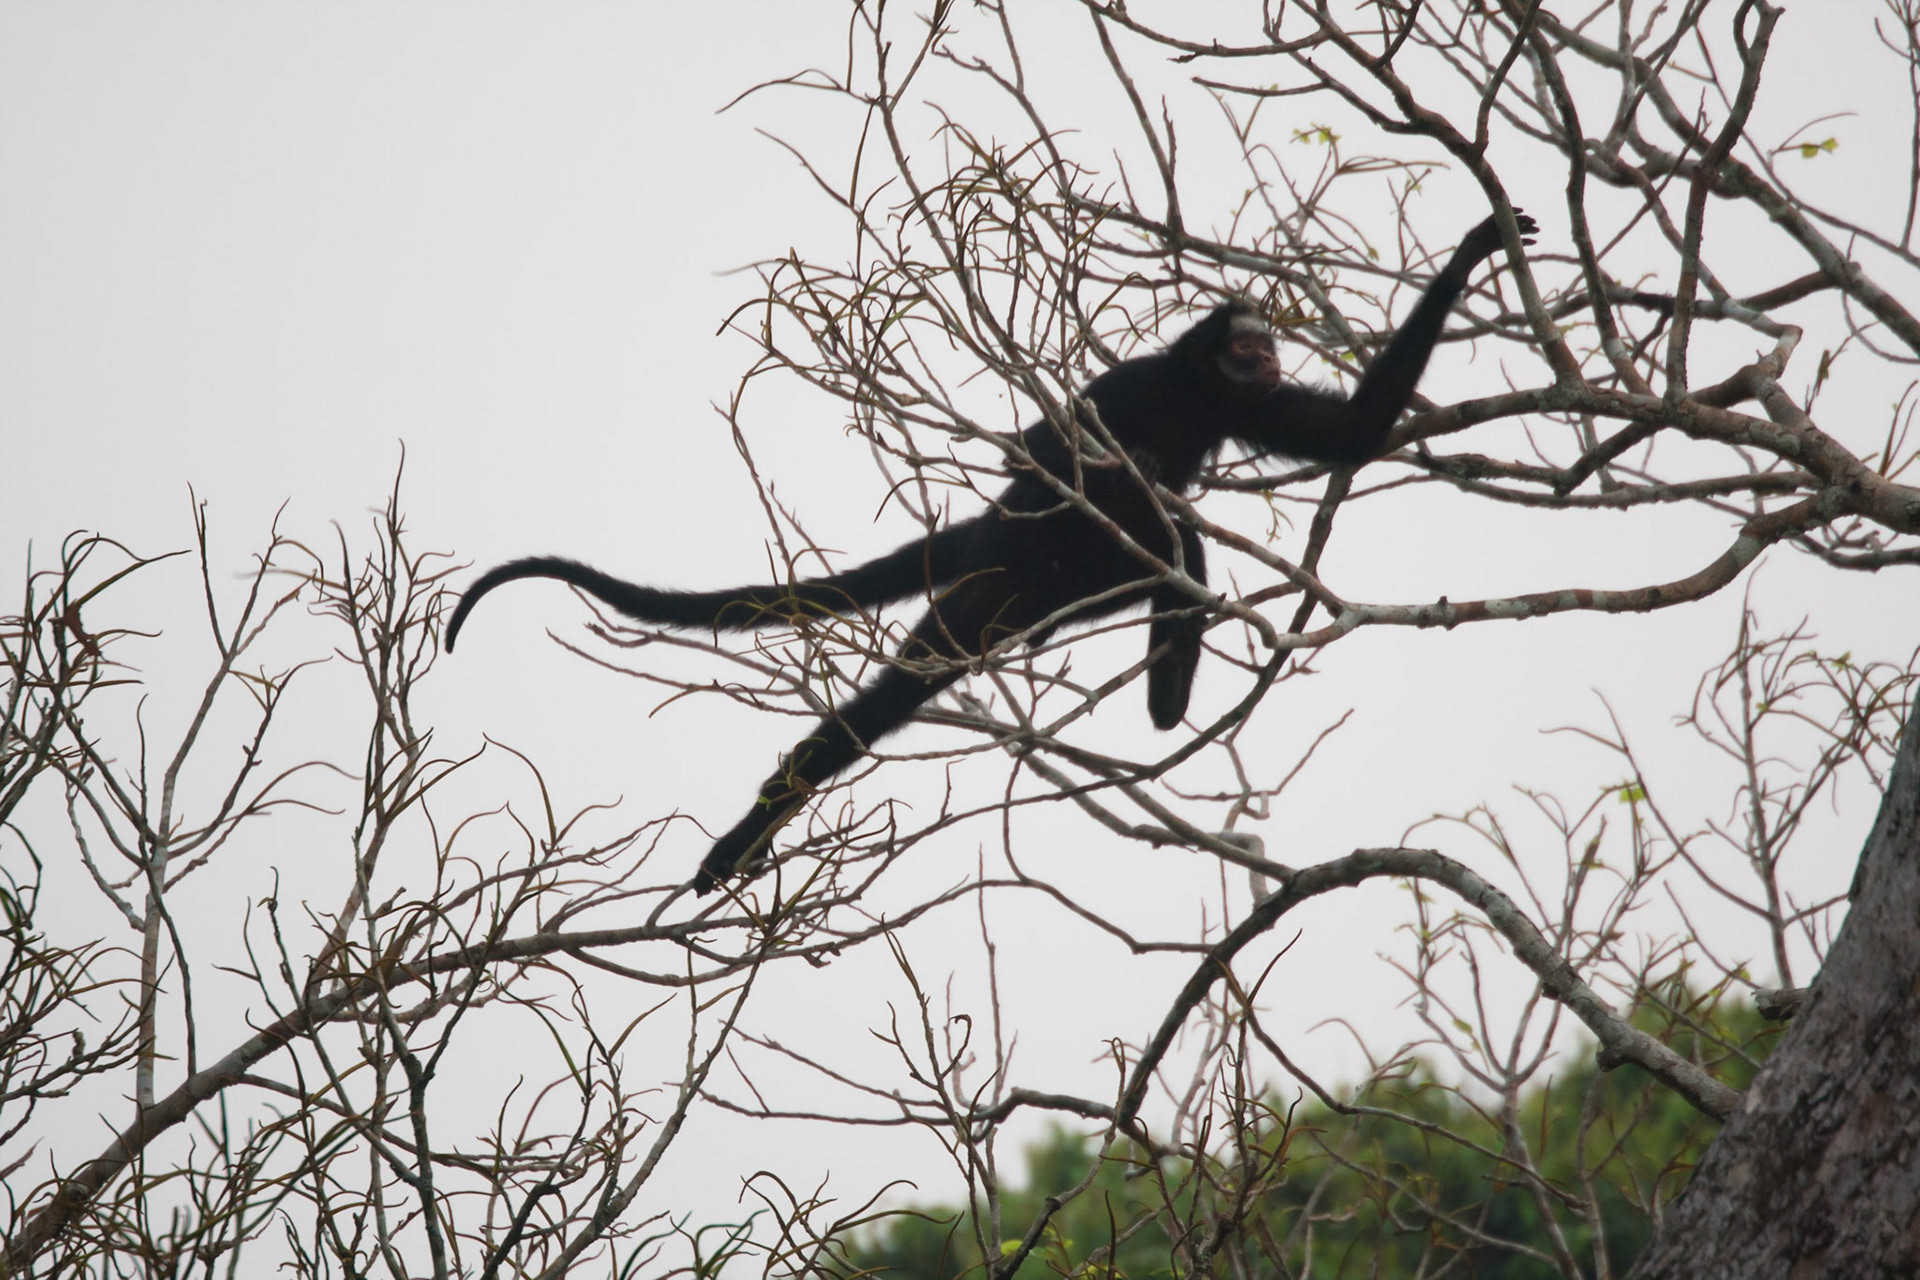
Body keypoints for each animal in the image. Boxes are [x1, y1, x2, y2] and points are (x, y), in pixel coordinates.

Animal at [448, 211, 1537, 894]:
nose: (1267, 353)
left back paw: (1164, 695)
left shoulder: (1238, 408)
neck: (1190, 392)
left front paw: (1474, 249)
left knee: (1172, 546)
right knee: (888, 697)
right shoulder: (1127, 390)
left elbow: (1349, 433)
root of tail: (981, 545)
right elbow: (1045, 449)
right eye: (1250, 342)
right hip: (988, 585)